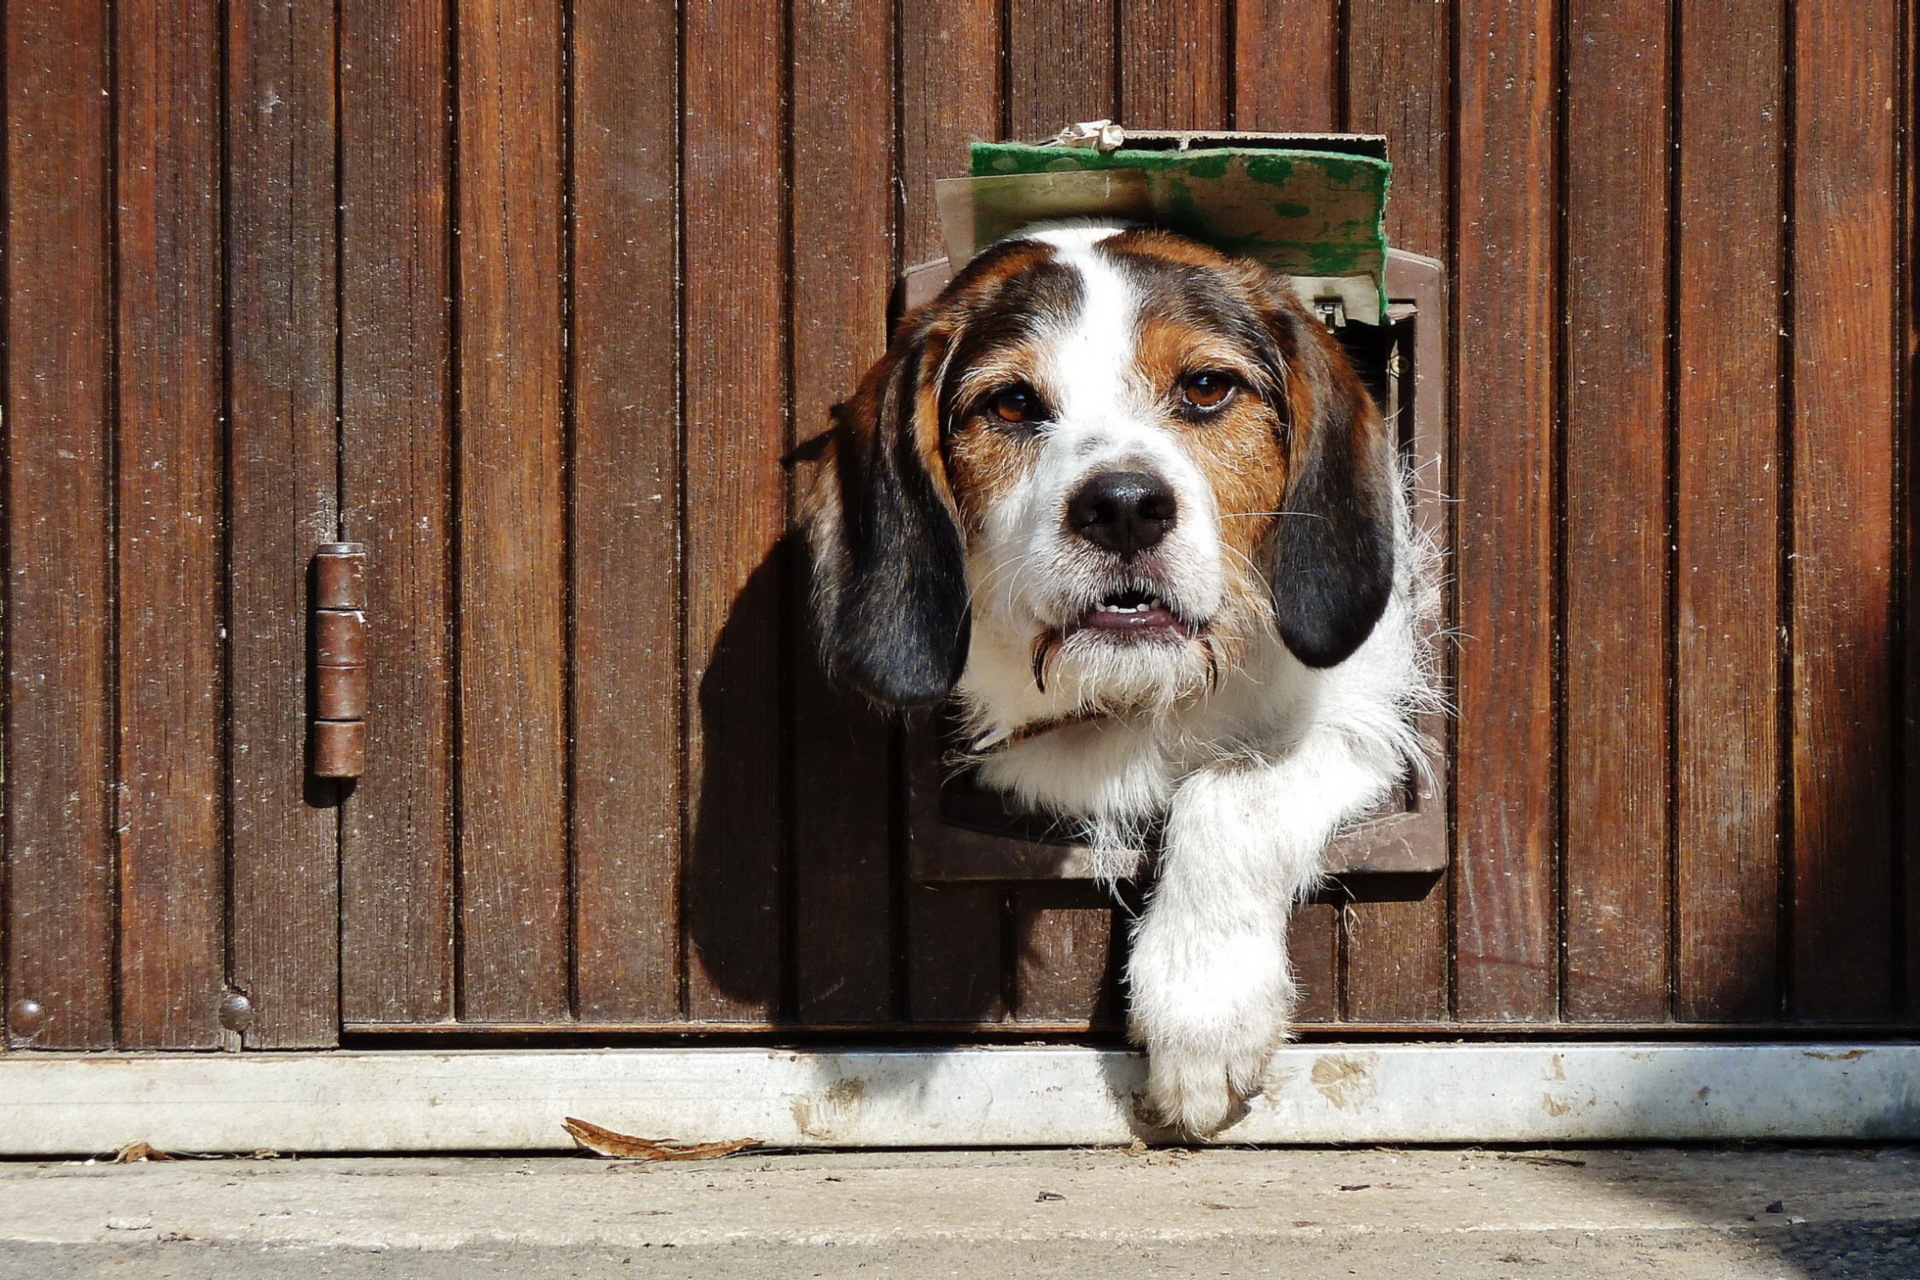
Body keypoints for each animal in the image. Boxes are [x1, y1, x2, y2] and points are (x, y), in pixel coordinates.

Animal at [802, 222, 1436, 1143]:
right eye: (1011, 405)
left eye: (1206, 387)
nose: (1126, 506)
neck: (1146, 698)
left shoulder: (1368, 719)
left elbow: (1233, 789)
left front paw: (1204, 1003)